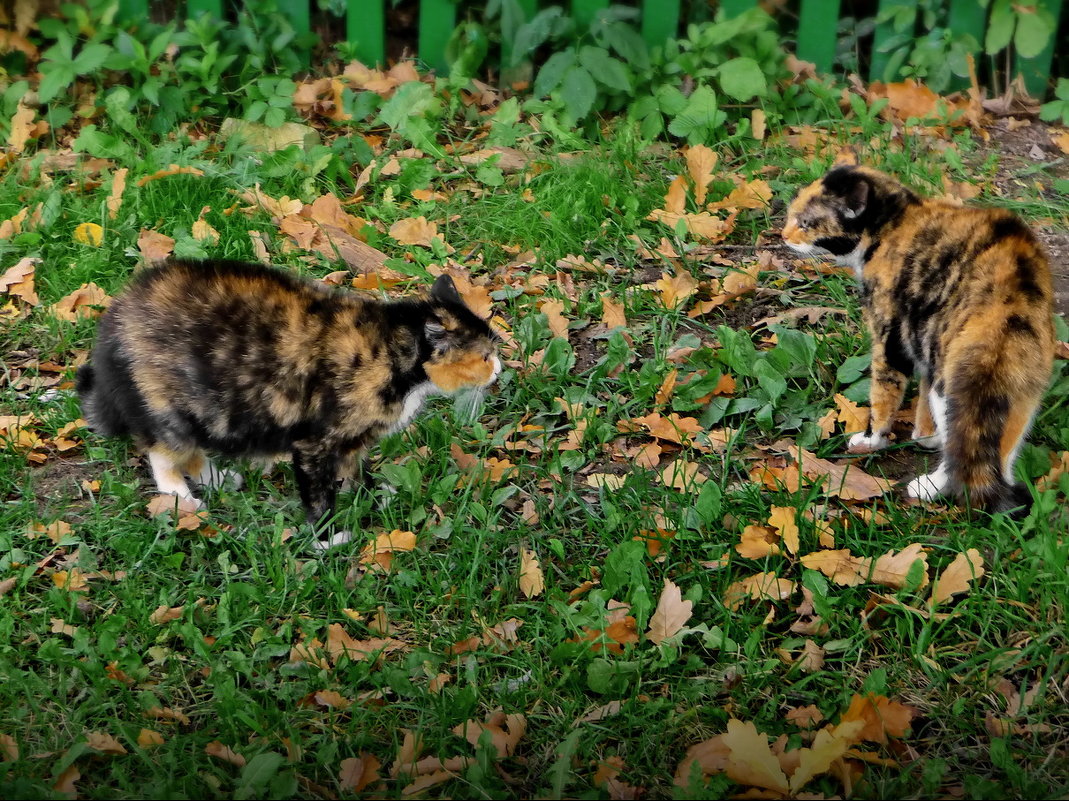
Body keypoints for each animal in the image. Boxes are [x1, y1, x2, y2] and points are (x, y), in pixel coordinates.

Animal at [77, 259, 502, 547]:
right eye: (483, 357)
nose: (498, 370)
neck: (391, 352)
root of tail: (116, 315)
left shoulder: (352, 439)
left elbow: (355, 471)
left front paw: (372, 496)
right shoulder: (315, 441)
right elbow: (318, 494)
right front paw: (328, 537)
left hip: (206, 407)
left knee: (193, 449)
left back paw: (218, 479)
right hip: (168, 402)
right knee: (163, 451)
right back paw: (181, 497)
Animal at [782, 151, 1056, 513]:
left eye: (805, 222)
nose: (783, 236)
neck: (895, 220)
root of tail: (1009, 307)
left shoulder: (891, 334)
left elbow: (884, 394)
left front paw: (871, 438)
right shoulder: (925, 333)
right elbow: (923, 395)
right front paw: (925, 435)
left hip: (954, 379)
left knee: (960, 451)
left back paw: (928, 487)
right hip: (1019, 386)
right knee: (999, 451)